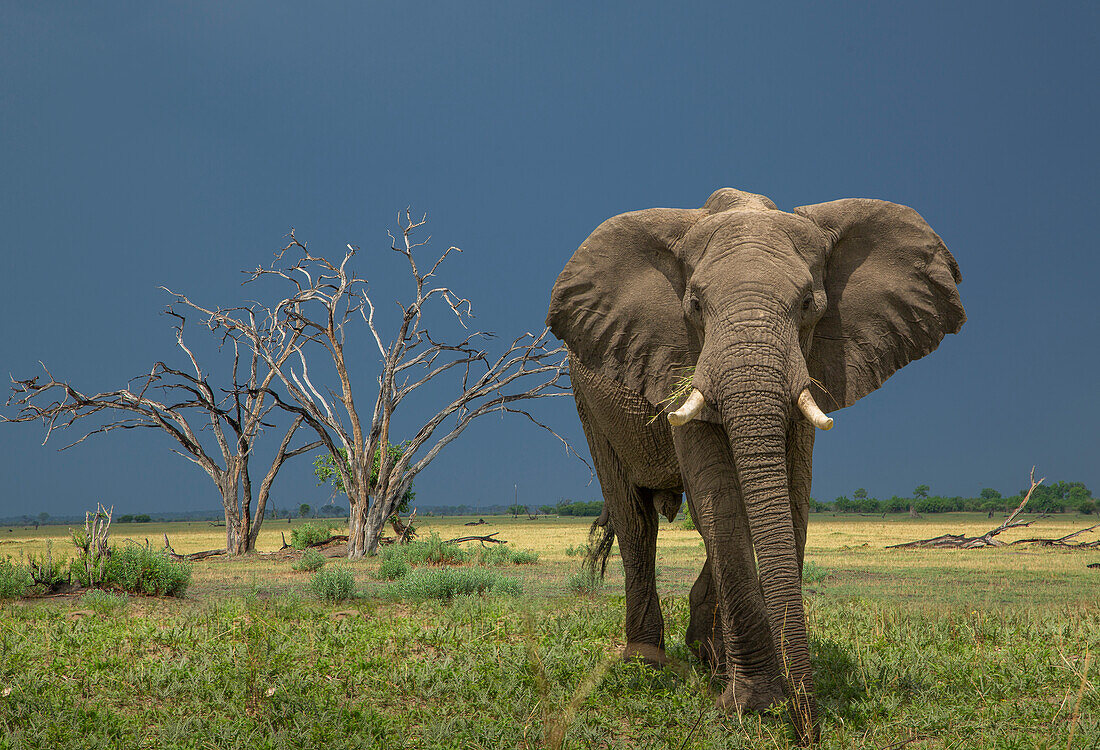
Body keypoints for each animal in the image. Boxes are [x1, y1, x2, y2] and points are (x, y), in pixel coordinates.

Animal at [547, 188, 963, 743]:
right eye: (694, 306)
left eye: (809, 305)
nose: (808, 733)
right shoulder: (679, 357)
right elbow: (721, 501)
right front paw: (753, 706)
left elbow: (788, 499)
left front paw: (748, 690)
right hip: (588, 401)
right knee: (635, 519)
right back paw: (647, 663)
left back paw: (707, 655)